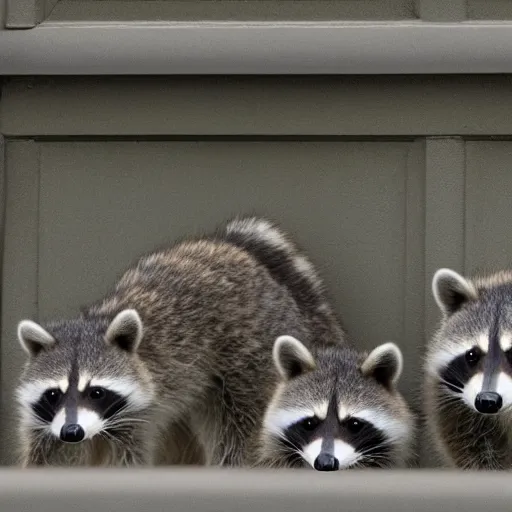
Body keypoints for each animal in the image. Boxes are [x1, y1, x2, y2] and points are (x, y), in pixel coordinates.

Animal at [16, 215, 414, 468]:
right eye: (53, 393)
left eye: (96, 391)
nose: (72, 432)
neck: (94, 323)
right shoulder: (47, 420)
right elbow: (45, 452)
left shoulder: (132, 416)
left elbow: (126, 458)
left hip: (247, 360)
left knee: (239, 432)